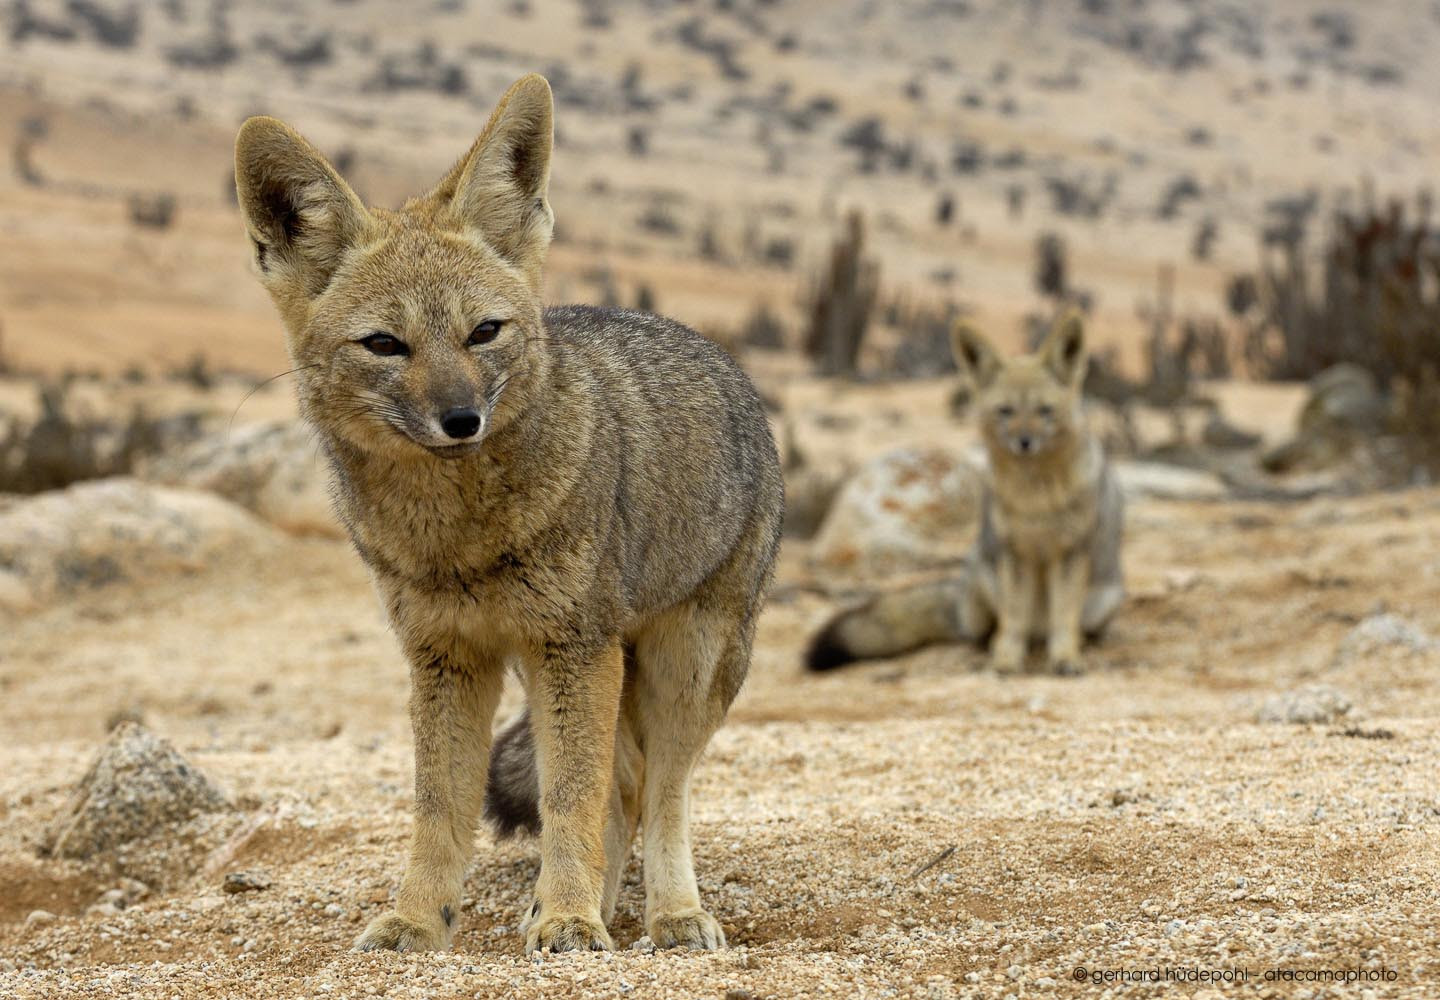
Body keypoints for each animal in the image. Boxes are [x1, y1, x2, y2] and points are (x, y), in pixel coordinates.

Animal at [233, 76, 789, 956]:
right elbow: (441, 807)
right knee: (623, 790)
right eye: (385, 344)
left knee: (661, 792)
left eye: (484, 332)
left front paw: (569, 919)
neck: (455, 537)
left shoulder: (572, 648)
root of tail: (720, 355)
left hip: (684, 663)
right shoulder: (449, 657)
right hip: (570, 668)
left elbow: (569, 797)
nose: (462, 420)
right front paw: (420, 919)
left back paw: (670, 913)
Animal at [806, 317, 1117, 677]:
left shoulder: (1070, 552)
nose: (1024, 442)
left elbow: (1064, 618)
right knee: (986, 629)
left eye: (1045, 411)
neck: (1036, 499)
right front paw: (1006, 661)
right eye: (1006, 411)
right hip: (983, 587)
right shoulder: (1013, 553)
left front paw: (1066, 658)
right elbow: (1014, 620)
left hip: (1102, 601)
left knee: (1068, 624)